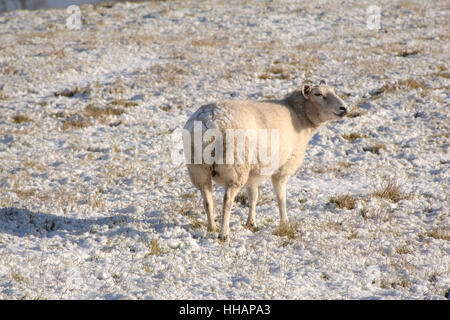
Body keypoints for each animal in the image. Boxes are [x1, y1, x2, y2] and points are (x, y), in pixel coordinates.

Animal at [182, 80, 348, 240]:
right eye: (318, 94)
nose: (344, 108)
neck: (299, 116)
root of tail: (208, 120)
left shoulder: (254, 172)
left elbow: (253, 197)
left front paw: (251, 223)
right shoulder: (283, 167)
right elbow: (281, 198)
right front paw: (285, 223)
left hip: (198, 168)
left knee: (207, 200)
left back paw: (212, 227)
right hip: (235, 167)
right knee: (227, 200)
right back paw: (223, 233)